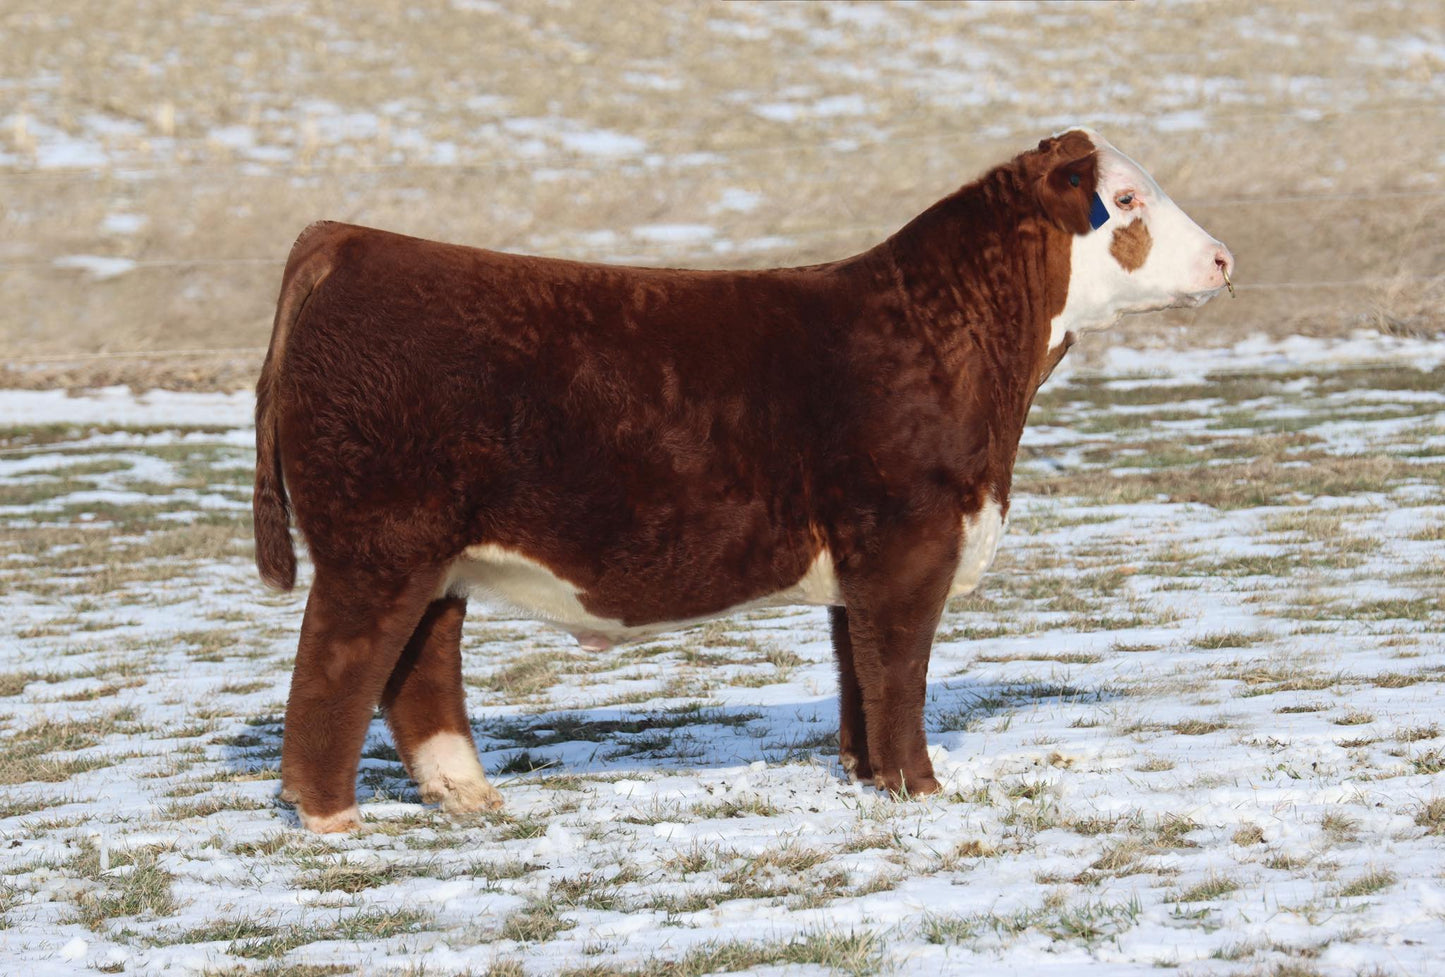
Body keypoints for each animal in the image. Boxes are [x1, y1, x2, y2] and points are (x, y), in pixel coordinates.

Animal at [253, 128, 1233, 832]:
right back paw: (331, 816)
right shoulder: (908, 543)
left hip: (432, 553)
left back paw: (467, 795)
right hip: (379, 544)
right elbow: (899, 671)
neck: (944, 334)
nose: (1223, 258)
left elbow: (856, 670)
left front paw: (866, 774)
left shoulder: (864, 561)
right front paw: (919, 788)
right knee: (335, 667)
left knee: (419, 664)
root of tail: (350, 241)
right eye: (1127, 199)